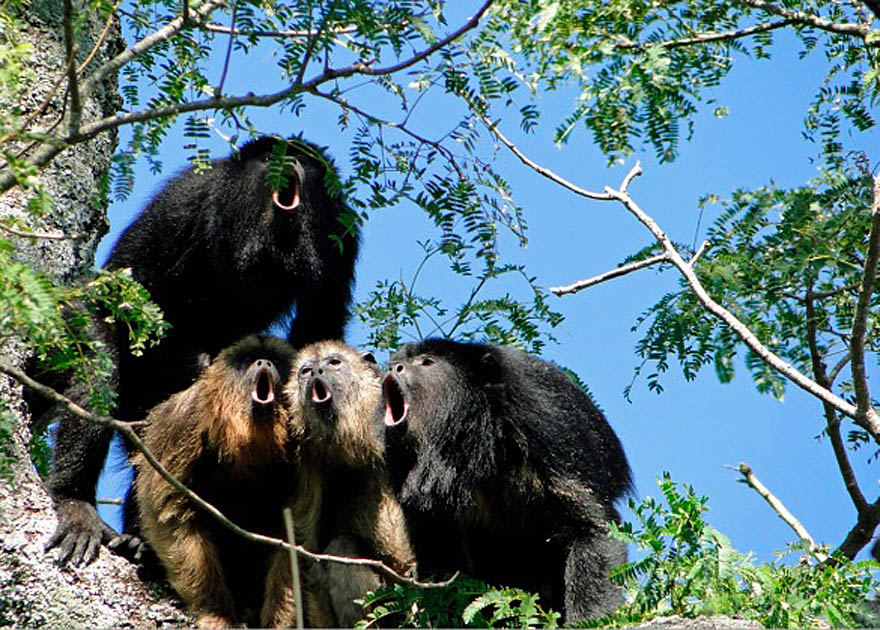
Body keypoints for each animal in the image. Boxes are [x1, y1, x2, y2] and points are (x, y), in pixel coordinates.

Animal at [41, 136, 358, 564]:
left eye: (304, 161)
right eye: (268, 157)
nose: (289, 163)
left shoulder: (342, 234)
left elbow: (319, 323)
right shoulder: (188, 198)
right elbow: (139, 290)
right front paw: (199, 364)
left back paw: (141, 539)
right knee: (102, 371)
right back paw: (75, 503)